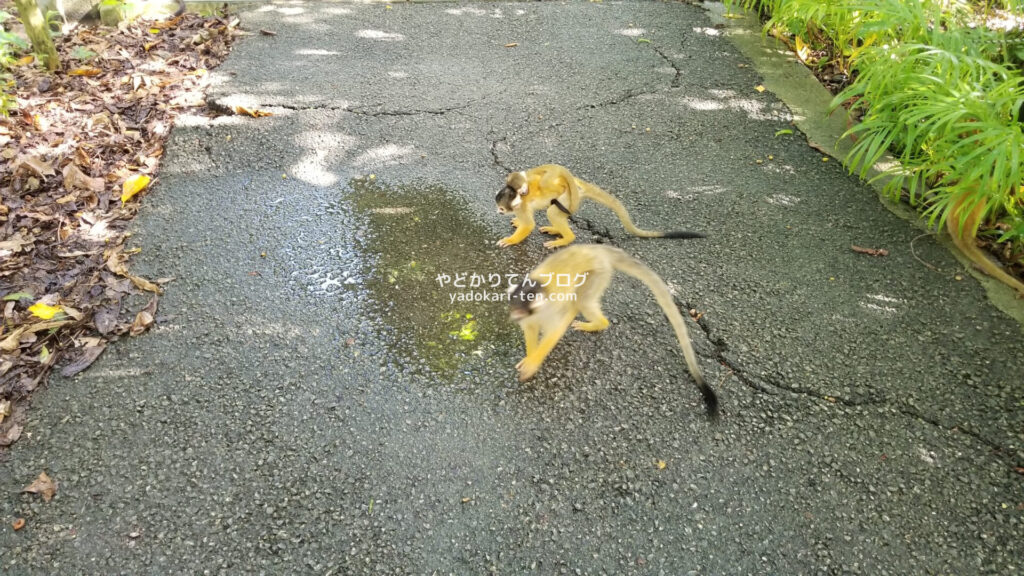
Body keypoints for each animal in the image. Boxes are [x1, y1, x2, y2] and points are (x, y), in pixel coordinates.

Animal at [495, 163, 704, 249]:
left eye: (501, 208)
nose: (498, 211)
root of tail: (575, 185)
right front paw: (516, 224)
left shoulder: (521, 206)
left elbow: (528, 224)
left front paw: (511, 240)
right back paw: (556, 230)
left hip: (567, 197)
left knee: (553, 211)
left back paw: (566, 238)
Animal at [505, 241, 716, 416]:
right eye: (513, 307)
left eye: (520, 310)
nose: (513, 316)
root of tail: (596, 249)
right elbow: (531, 329)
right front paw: (529, 357)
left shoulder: (551, 307)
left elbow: (555, 330)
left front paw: (533, 363)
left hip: (599, 272)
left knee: (582, 301)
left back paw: (595, 322)